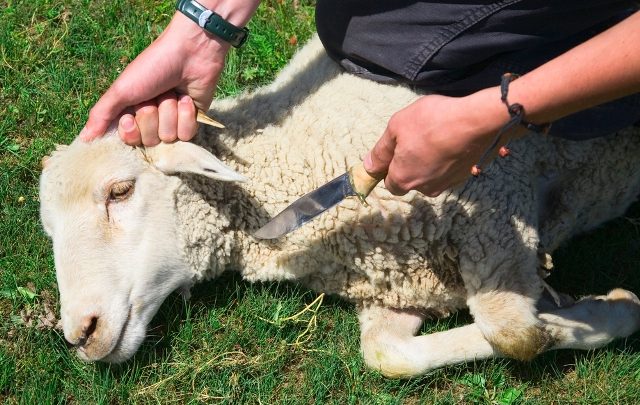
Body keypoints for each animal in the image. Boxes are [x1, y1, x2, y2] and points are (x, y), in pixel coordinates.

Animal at [38, 36, 640, 378]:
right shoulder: (397, 283)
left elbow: (515, 333)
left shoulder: (497, 207)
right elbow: (389, 358)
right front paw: (594, 311)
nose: (80, 333)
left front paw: (605, 311)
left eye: (120, 191)